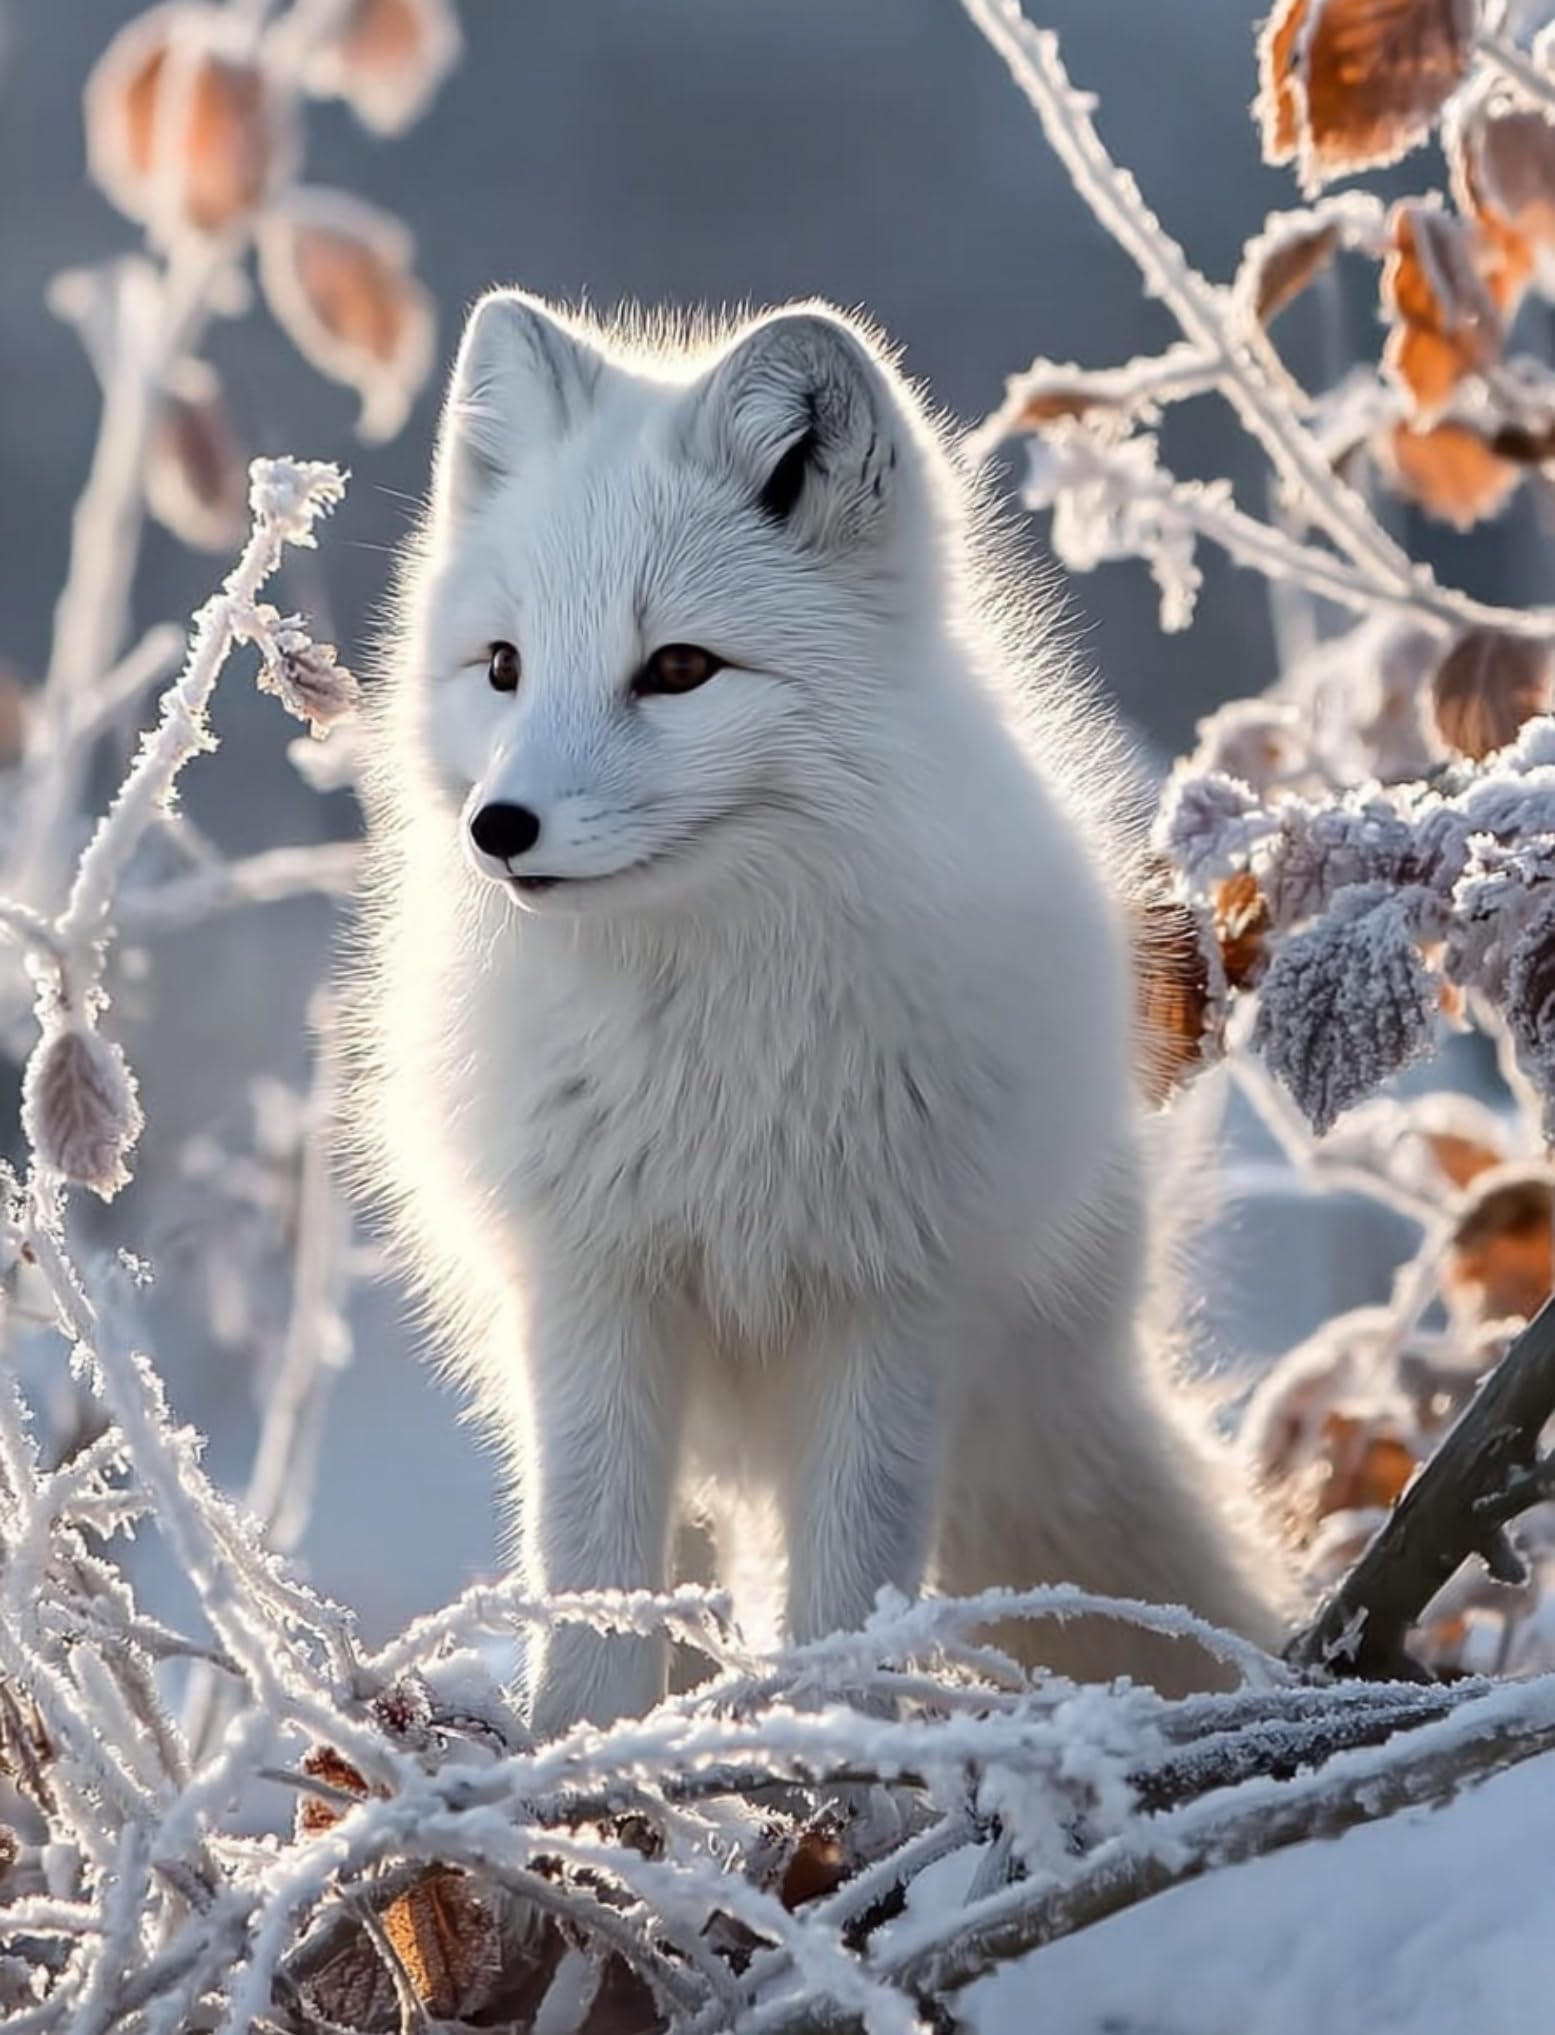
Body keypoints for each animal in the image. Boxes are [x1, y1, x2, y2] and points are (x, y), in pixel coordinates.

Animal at [345, 289, 1291, 1737]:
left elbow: (846, 1593)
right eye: (501, 665)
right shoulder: (594, 1287)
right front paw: (587, 1755)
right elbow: (596, 1585)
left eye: (678, 667)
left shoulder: (886, 1300)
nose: (497, 827)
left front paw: (831, 1744)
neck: (708, 1025)